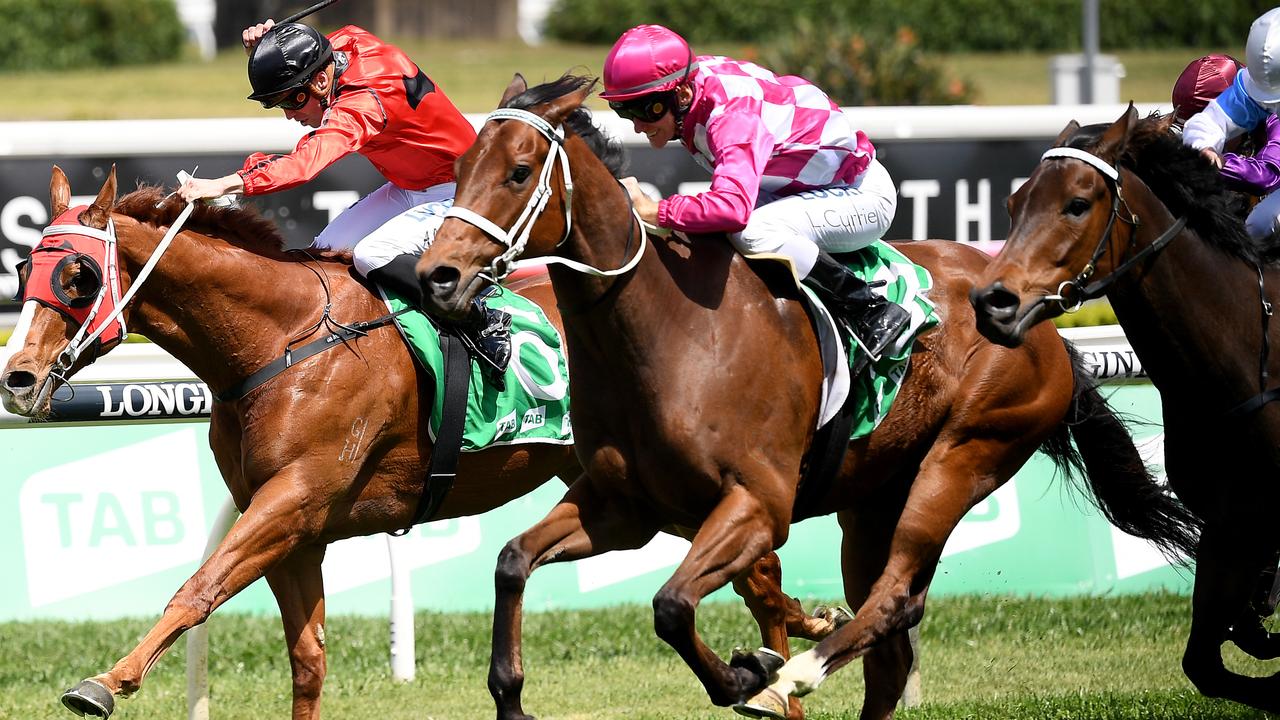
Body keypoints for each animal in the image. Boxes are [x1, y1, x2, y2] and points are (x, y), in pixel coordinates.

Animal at [5, 165, 844, 712]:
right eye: (23, 270)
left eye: (78, 276)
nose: (17, 376)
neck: (278, 340)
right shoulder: (296, 529)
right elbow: (307, 659)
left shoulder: (290, 503)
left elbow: (197, 590)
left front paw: (105, 683)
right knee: (758, 573)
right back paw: (807, 630)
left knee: (757, 571)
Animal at [412, 75, 1198, 712]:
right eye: (458, 168)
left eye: (518, 173)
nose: (436, 276)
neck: (670, 332)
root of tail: (1038, 320)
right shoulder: (623, 507)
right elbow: (512, 561)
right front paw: (511, 693)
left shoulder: (757, 505)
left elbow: (671, 605)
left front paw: (751, 672)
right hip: (874, 498)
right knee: (888, 646)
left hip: (964, 456)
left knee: (893, 601)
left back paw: (797, 671)